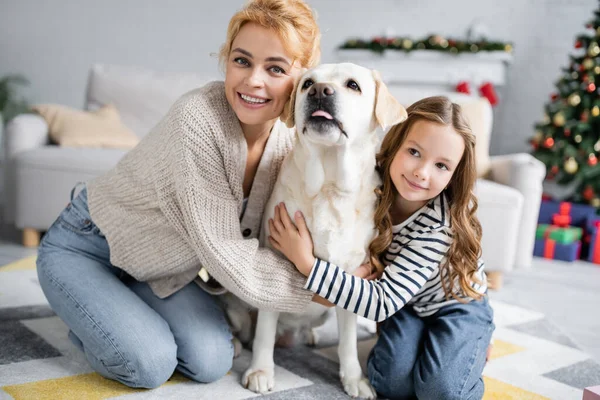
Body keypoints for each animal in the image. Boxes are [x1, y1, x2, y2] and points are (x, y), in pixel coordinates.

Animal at [243, 64, 408, 398]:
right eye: (307, 83)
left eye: (353, 85)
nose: (320, 91)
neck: (329, 186)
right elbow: (264, 332)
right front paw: (261, 371)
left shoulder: (352, 278)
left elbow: (348, 342)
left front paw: (354, 379)